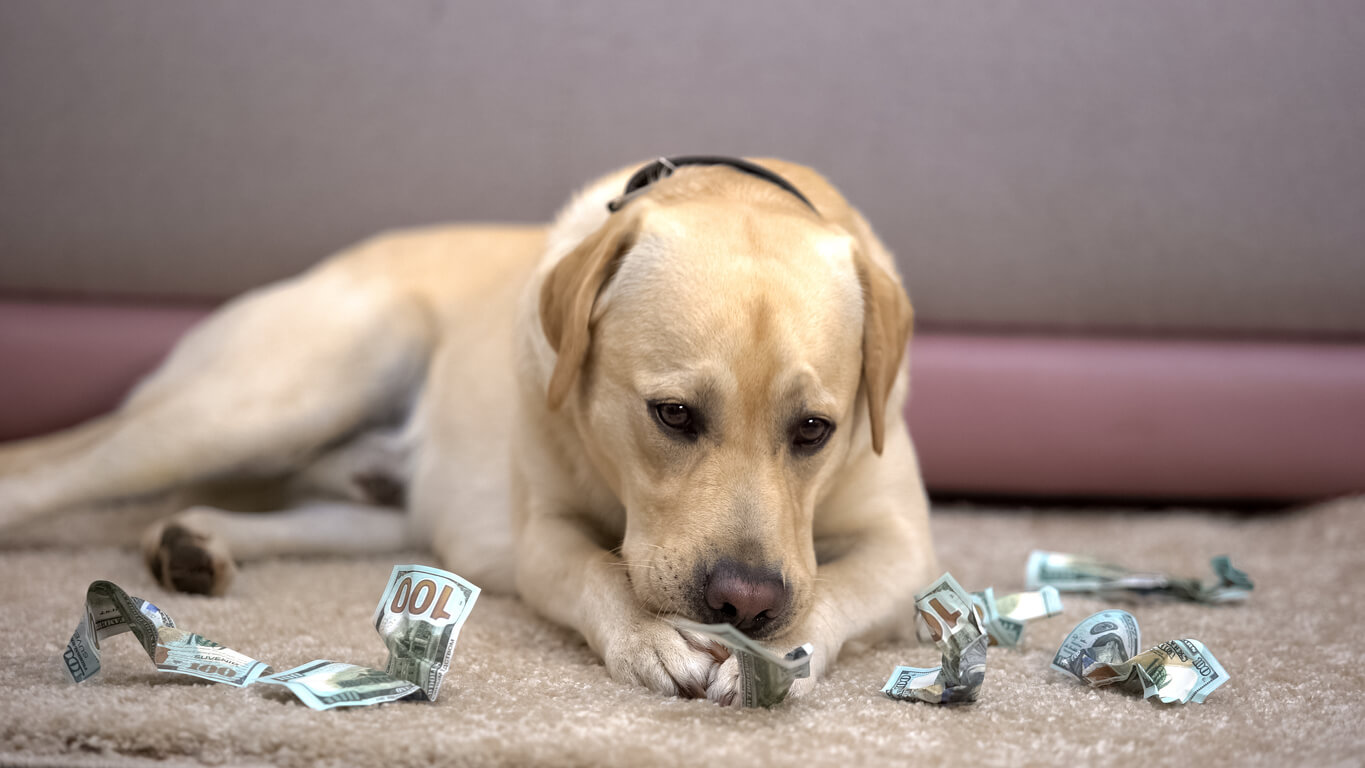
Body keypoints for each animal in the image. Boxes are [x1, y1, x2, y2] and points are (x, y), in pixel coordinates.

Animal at [0, 156, 939, 703]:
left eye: (814, 430)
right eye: (672, 415)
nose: (745, 602)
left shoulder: (903, 548)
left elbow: (836, 588)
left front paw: (789, 649)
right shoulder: (542, 533)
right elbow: (595, 571)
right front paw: (649, 640)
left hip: (387, 507)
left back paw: (198, 542)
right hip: (275, 397)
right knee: (52, 467)